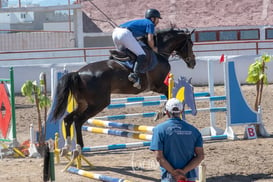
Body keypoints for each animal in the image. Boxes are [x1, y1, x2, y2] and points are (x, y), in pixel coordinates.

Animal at [51, 27, 196, 150]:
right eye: (190, 44)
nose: (193, 63)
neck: (159, 52)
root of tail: (78, 73)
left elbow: (170, 95)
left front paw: (163, 112)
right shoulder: (158, 85)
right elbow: (169, 94)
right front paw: (161, 113)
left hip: (83, 103)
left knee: (68, 119)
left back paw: (67, 147)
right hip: (98, 103)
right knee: (78, 120)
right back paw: (79, 147)